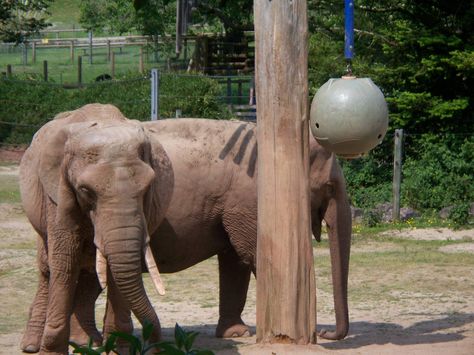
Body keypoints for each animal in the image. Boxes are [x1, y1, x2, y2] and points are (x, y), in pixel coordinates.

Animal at [19, 104, 174, 354]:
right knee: (47, 268)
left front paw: (120, 348)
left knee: (91, 268)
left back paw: (86, 343)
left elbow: (115, 269)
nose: (156, 346)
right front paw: (51, 350)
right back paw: (33, 345)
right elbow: (64, 260)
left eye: (148, 187)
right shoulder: (58, 191)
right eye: (85, 190)